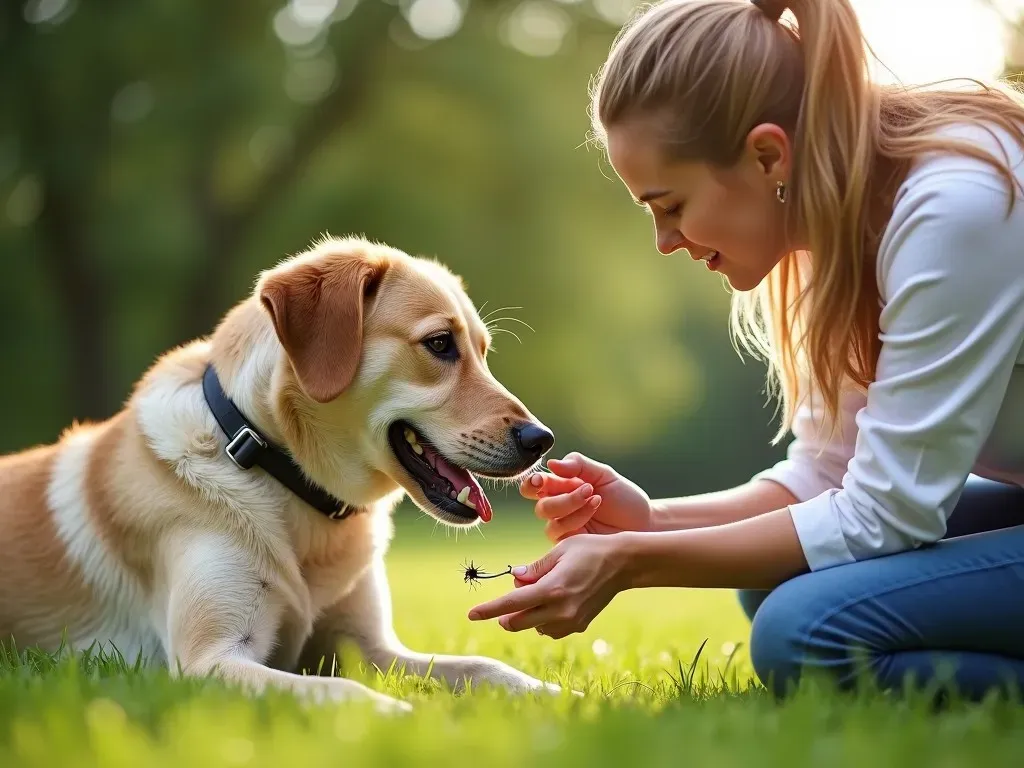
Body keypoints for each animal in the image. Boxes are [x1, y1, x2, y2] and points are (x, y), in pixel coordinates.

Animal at [0, 236, 561, 716]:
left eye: (484, 354)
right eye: (441, 344)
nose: (542, 440)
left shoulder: (370, 648)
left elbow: (484, 668)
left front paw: (557, 696)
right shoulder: (211, 660)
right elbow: (340, 691)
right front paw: (399, 717)